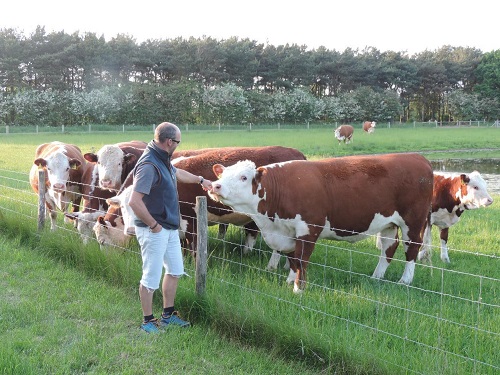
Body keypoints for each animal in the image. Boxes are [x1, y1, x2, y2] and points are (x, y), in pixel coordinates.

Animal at [208, 153, 434, 294]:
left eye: (243, 177)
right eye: (223, 175)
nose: (214, 185)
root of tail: (417, 157)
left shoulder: (308, 229)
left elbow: (301, 260)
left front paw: (298, 289)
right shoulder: (289, 232)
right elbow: (292, 259)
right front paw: (289, 281)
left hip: (413, 221)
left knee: (412, 249)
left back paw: (405, 281)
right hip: (388, 223)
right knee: (389, 247)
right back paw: (376, 277)